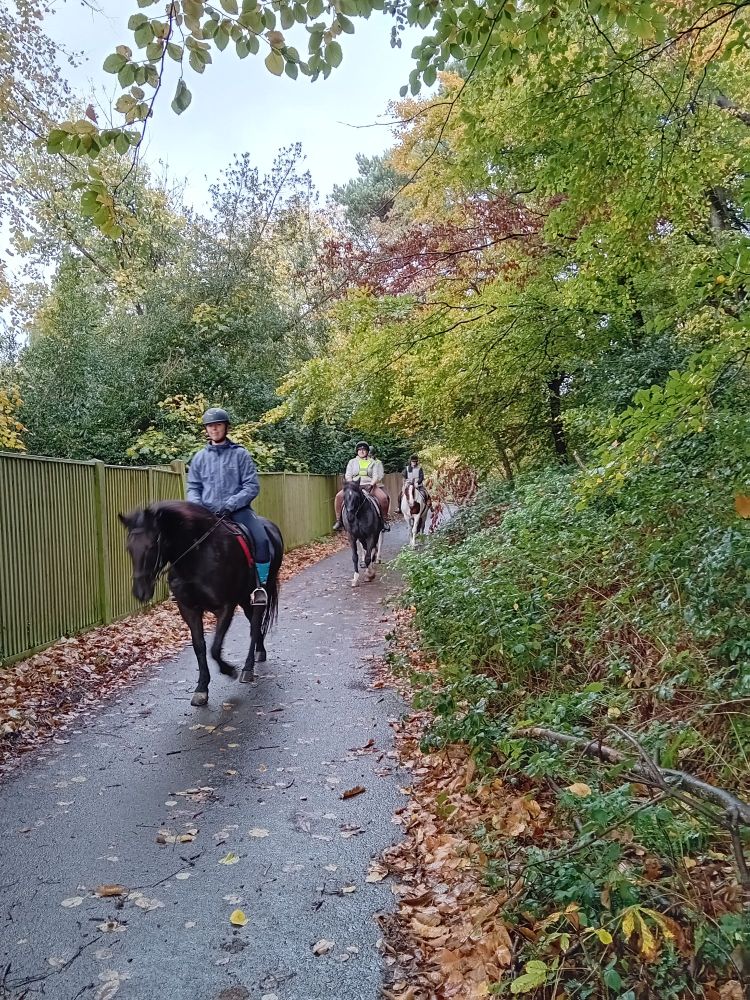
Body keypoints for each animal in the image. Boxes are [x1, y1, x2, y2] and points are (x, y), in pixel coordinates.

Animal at [118, 501, 283, 706]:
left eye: (152, 545)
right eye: (129, 548)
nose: (140, 591)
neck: (198, 557)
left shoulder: (225, 607)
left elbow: (214, 648)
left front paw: (229, 670)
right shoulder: (189, 609)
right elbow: (200, 647)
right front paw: (201, 689)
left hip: (259, 593)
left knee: (254, 625)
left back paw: (248, 668)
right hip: (245, 598)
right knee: (255, 624)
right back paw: (260, 652)